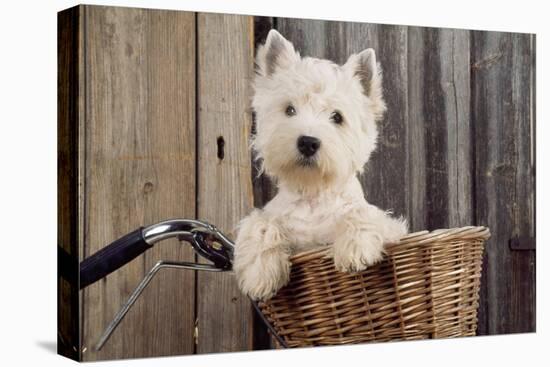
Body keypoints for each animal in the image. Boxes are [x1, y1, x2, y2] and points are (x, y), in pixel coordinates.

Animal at [233, 30, 410, 302]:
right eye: (289, 109)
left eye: (337, 117)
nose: (308, 142)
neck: (312, 194)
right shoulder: (281, 226)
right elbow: (260, 223)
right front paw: (259, 275)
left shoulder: (392, 228)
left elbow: (363, 212)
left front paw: (354, 251)